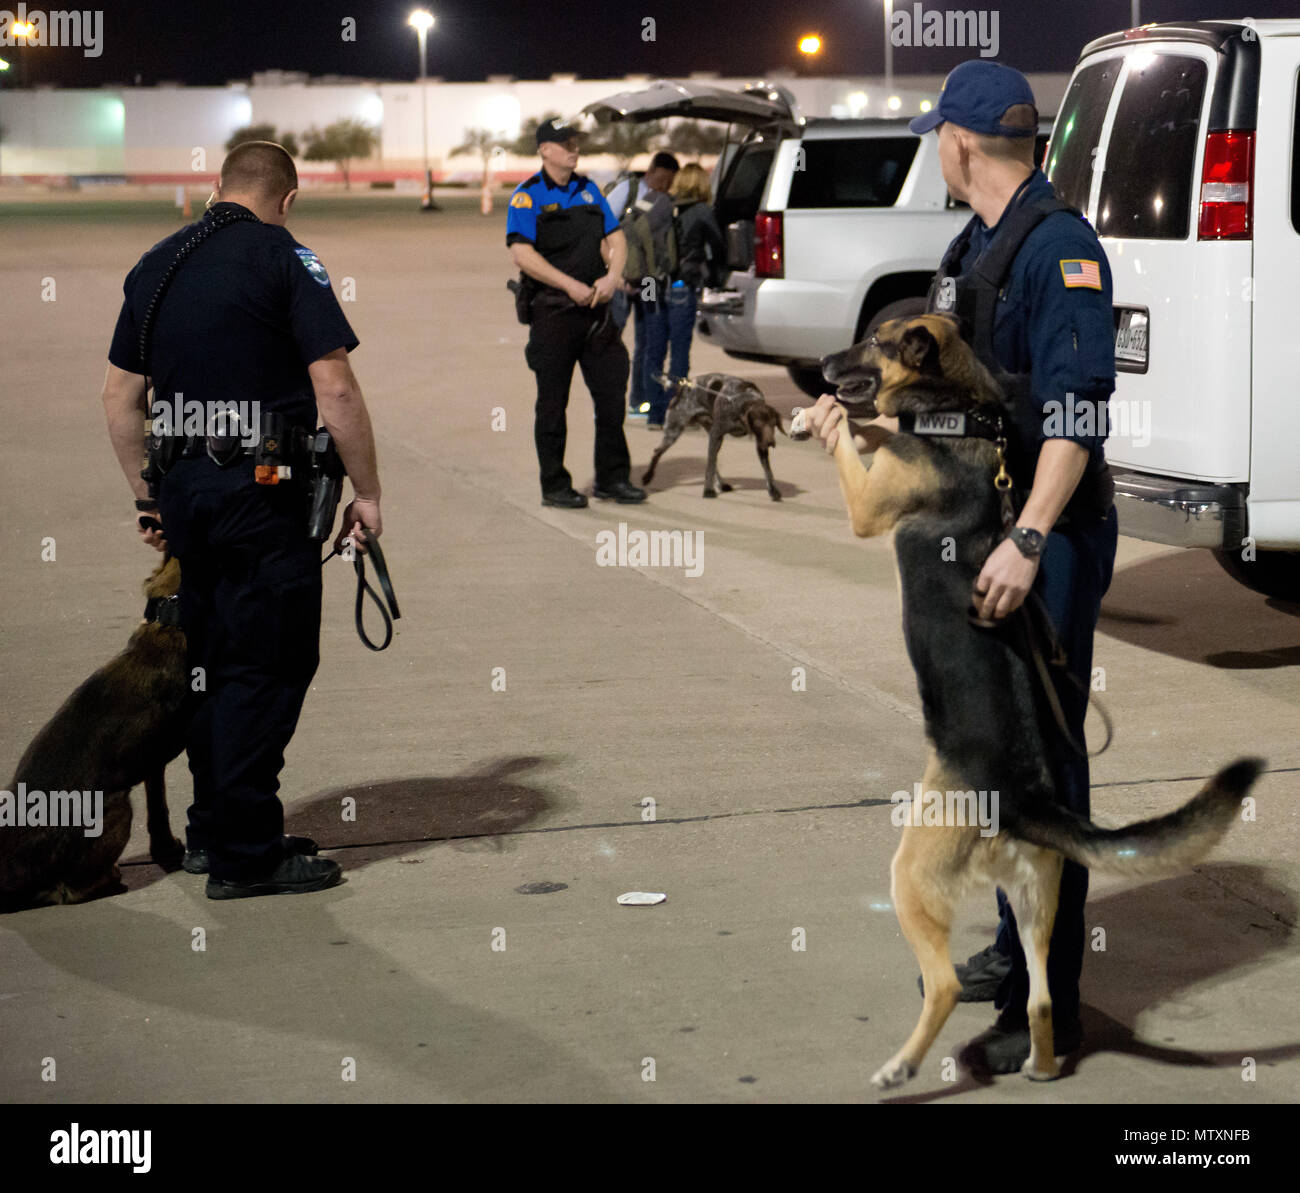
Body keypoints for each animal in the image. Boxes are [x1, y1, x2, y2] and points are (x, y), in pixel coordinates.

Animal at [0, 556, 189, 909]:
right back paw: (111, 880)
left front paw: (166, 847)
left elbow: (159, 807)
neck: (168, 621)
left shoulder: (152, 762)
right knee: (68, 891)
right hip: (117, 808)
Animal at [637, 376, 780, 501]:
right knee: (657, 452)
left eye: (773, 424)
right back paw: (647, 476)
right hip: (674, 432)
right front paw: (708, 490)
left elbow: (768, 470)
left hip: (714, 439)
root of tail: (682, 387)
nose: (770, 442)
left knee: (712, 460)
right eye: (758, 424)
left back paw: (721, 484)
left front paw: (773, 490)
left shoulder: (758, 443)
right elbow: (709, 467)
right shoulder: (716, 434)